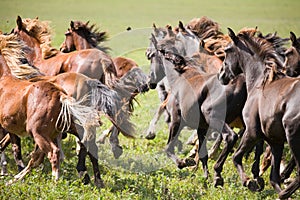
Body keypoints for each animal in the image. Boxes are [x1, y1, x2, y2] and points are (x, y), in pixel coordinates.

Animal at [0, 33, 99, 185]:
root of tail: (60, 95)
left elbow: (13, 148)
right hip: (62, 129)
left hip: (38, 132)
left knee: (52, 153)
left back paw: (55, 181)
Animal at [218, 27, 300, 198]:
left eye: (227, 50)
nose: (220, 75)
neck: (260, 82)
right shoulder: (275, 141)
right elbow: (273, 178)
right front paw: (261, 182)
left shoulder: (252, 132)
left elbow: (236, 157)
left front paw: (249, 182)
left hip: (294, 140)